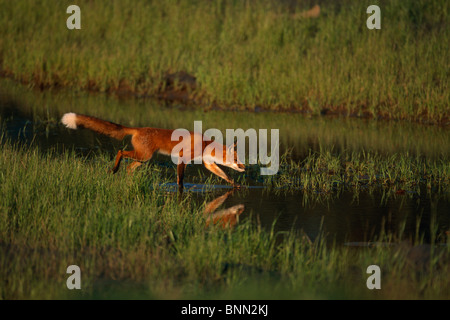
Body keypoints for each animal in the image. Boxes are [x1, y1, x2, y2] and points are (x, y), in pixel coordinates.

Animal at [61, 112, 244, 188]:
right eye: (236, 159)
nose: (244, 167)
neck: (205, 144)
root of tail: (138, 129)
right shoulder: (182, 159)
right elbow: (180, 180)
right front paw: (180, 191)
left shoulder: (208, 164)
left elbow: (224, 175)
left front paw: (236, 185)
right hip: (143, 156)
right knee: (120, 152)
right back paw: (114, 169)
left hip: (143, 159)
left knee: (129, 167)